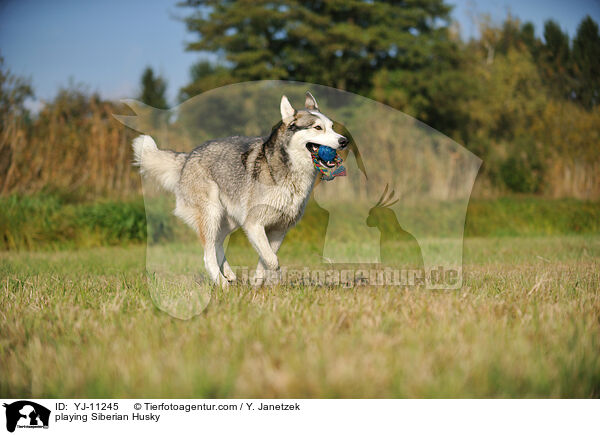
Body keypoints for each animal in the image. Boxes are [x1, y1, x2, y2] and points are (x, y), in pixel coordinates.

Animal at [131, 92, 346, 286]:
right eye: (317, 127)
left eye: (332, 127)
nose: (344, 141)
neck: (289, 172)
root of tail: (188, 157)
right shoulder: (253, 225)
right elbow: (272, 261)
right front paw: (274, 282)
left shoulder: (278, 229)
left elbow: (265, 260)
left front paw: (258, 284)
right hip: (212, 213)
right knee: (208, 255)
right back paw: (222, 284)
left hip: (230, 220)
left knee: (217, 244)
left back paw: (229, 274)